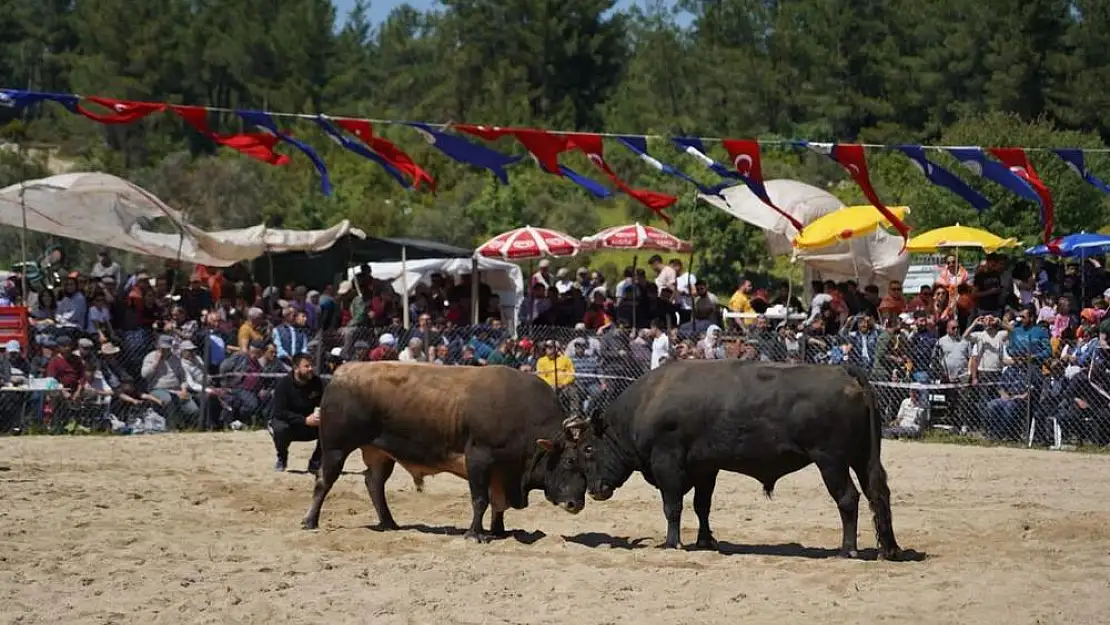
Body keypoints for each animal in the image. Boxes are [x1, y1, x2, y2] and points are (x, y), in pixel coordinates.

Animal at [299, 361, 586, 543]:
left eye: (588, 460)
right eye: (570, 460)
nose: (576, 504)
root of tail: (342, 373)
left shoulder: (502, 472)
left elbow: (498, 503)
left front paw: (499, 530)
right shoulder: (479, 459)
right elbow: (481, 500)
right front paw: (475, 534)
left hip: (379, 453)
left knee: (374, 482)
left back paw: (389, 522)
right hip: (336, 448)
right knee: (325, 480)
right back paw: (310, 521)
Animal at [563, 359, 901, 559]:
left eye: (588, 449)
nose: (594, 491)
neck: (647, 402)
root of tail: (845, 373)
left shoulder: (667, 464)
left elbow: (673, 506)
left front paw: (674, 543)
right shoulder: (705, 468)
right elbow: (702, 506)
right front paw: (705, 541)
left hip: (831, 461)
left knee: (848, 498)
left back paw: (848, 550)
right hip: (862, 458)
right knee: (878, 494)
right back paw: (889, 549)